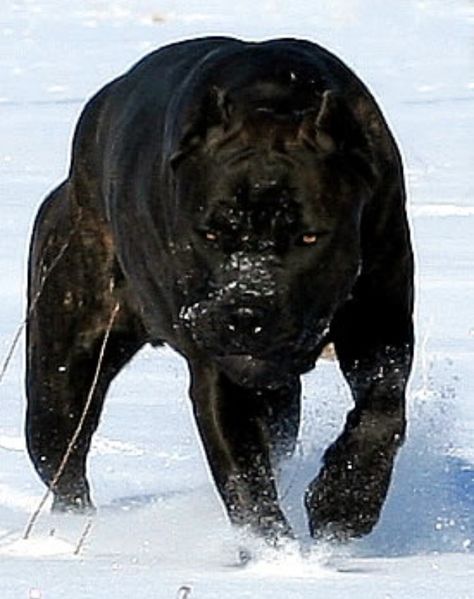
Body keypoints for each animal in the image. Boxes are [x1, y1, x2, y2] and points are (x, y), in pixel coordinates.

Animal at [25, 37, 412, 544]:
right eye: (209, 233)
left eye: (308, 237)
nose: (246, 310)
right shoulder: (219, 375)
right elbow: (245, 482)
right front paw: (276, 553)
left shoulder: (381, 322)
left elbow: (382, 409)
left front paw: (344, 503)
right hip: (60, 383)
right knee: (65, 466)